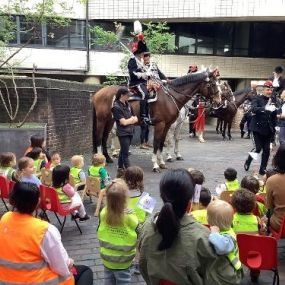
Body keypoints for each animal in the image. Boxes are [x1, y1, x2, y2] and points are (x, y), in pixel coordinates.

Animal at [92, 69, 221, 171]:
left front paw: (162, 162)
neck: (171, 97)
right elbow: (157, 142)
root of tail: (98, 92)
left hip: (110, 121)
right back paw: (101, 159)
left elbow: (162, 142)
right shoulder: (161, 124)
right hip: (101, 120)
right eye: (212, 84)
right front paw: (155, 164)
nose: (218, 102)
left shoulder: (168, 125)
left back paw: (107, 158)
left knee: (105, 137)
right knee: (99, 137)